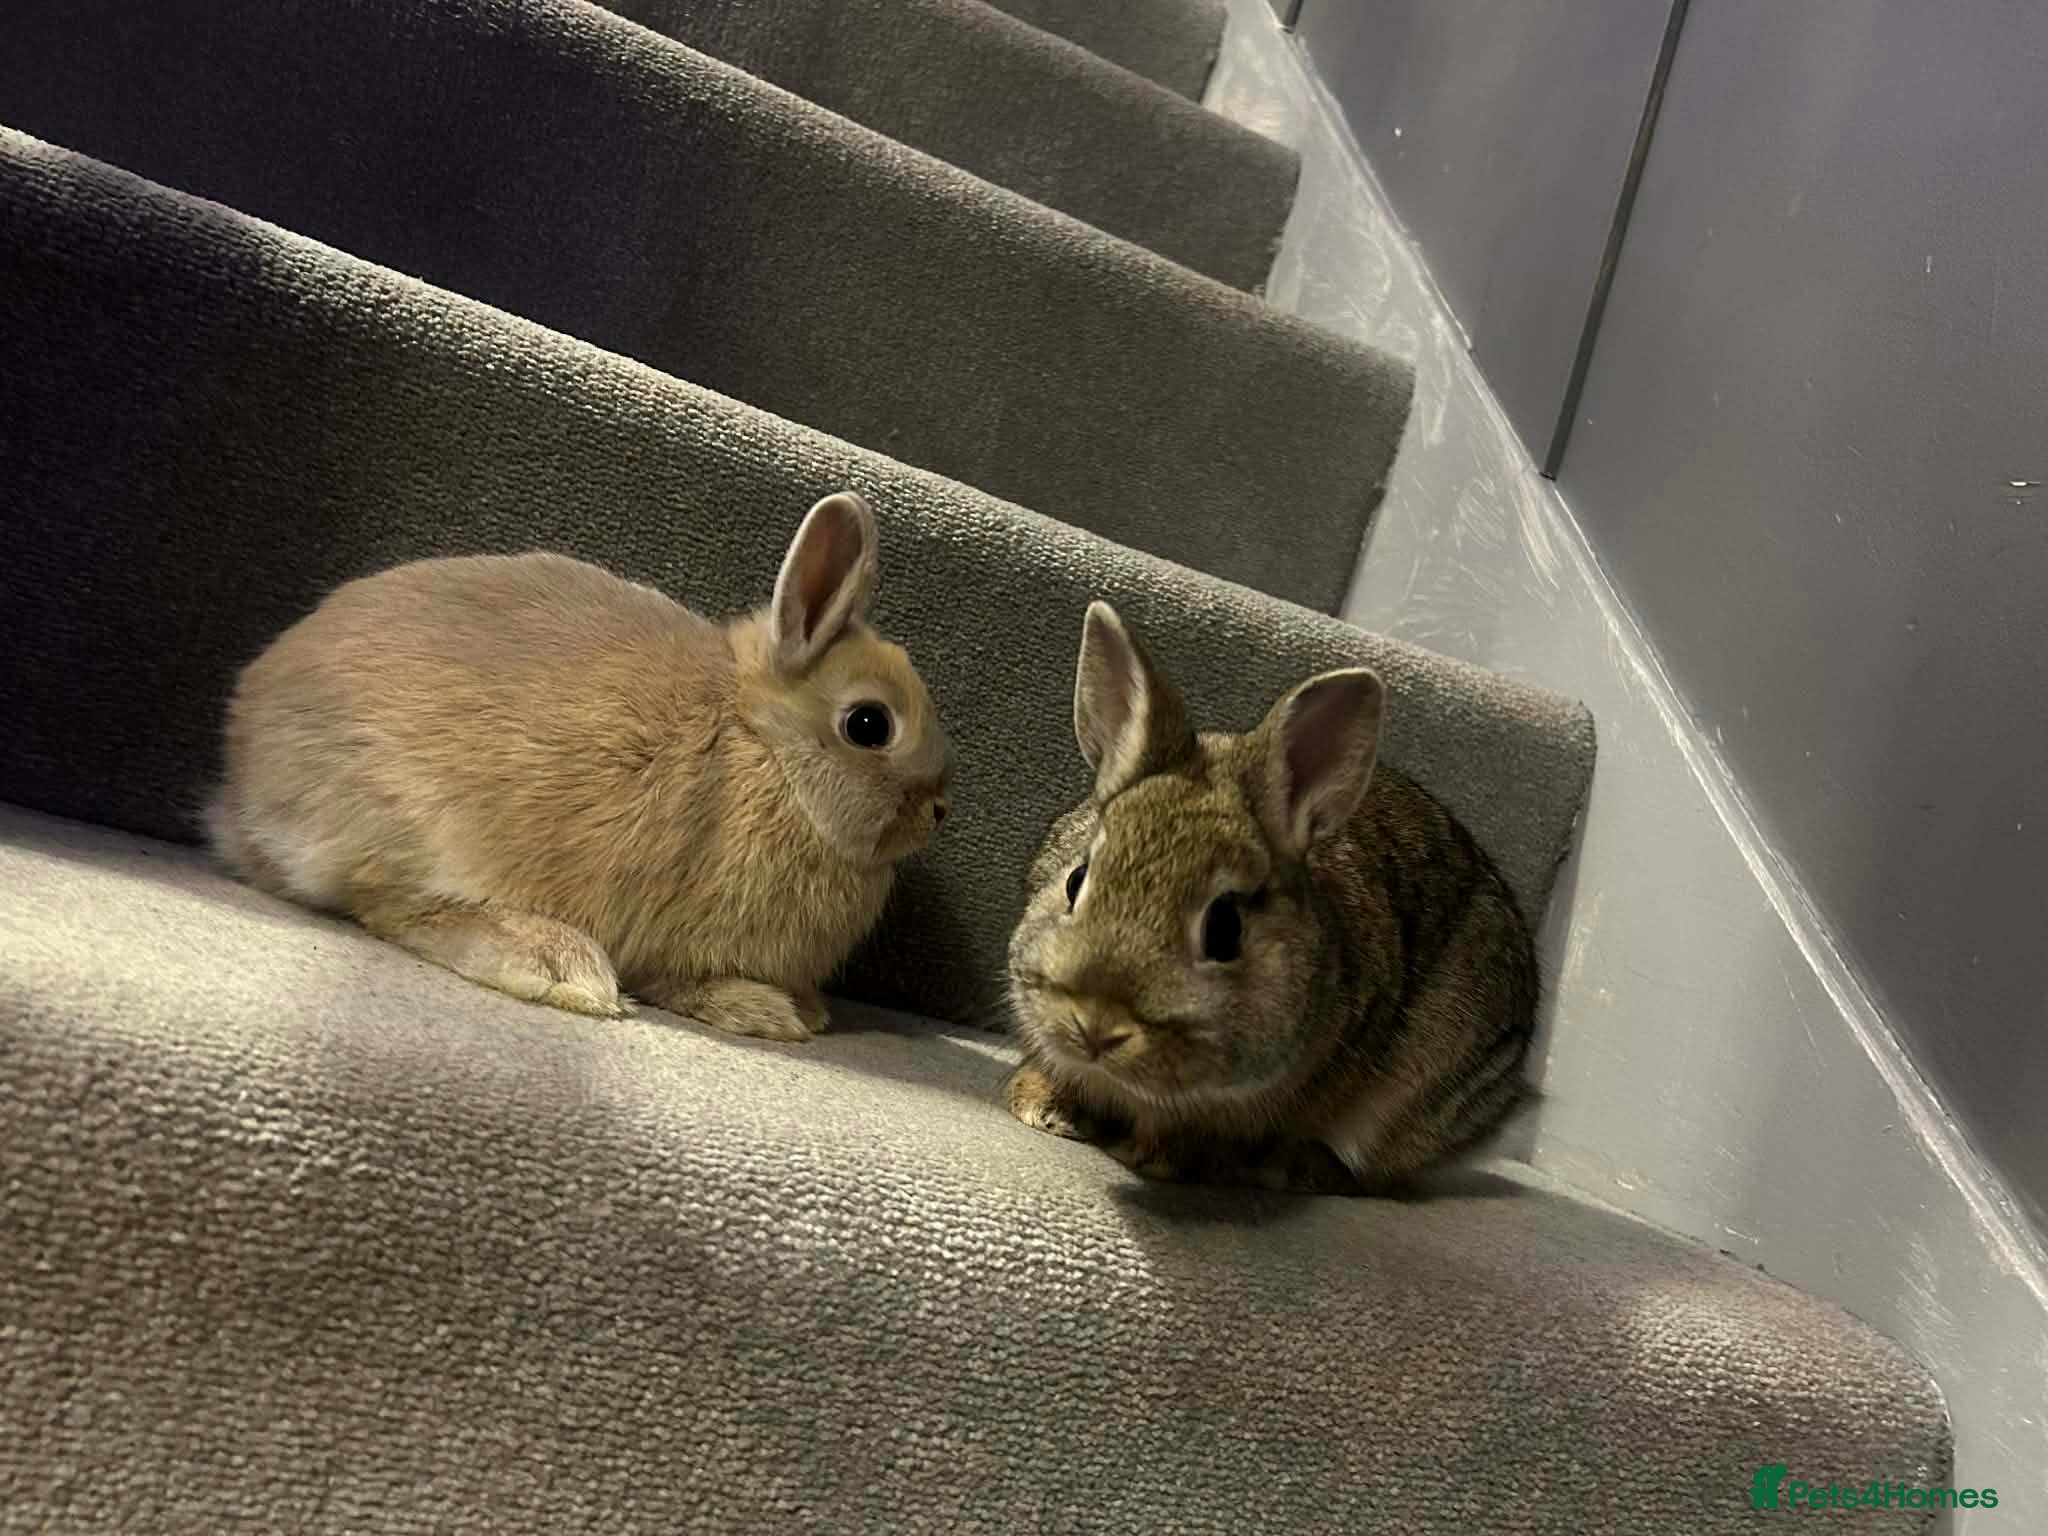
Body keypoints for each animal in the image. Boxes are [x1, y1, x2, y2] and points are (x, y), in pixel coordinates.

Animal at [208, 490, 949, 1042]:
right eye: (868, 725)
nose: (939, 812)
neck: (764, 747)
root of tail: (239, 792)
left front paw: (809, 1008)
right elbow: (681, 981)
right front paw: (768, 1012)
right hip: (413, 822)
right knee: (392, 906)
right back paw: (556, 965)